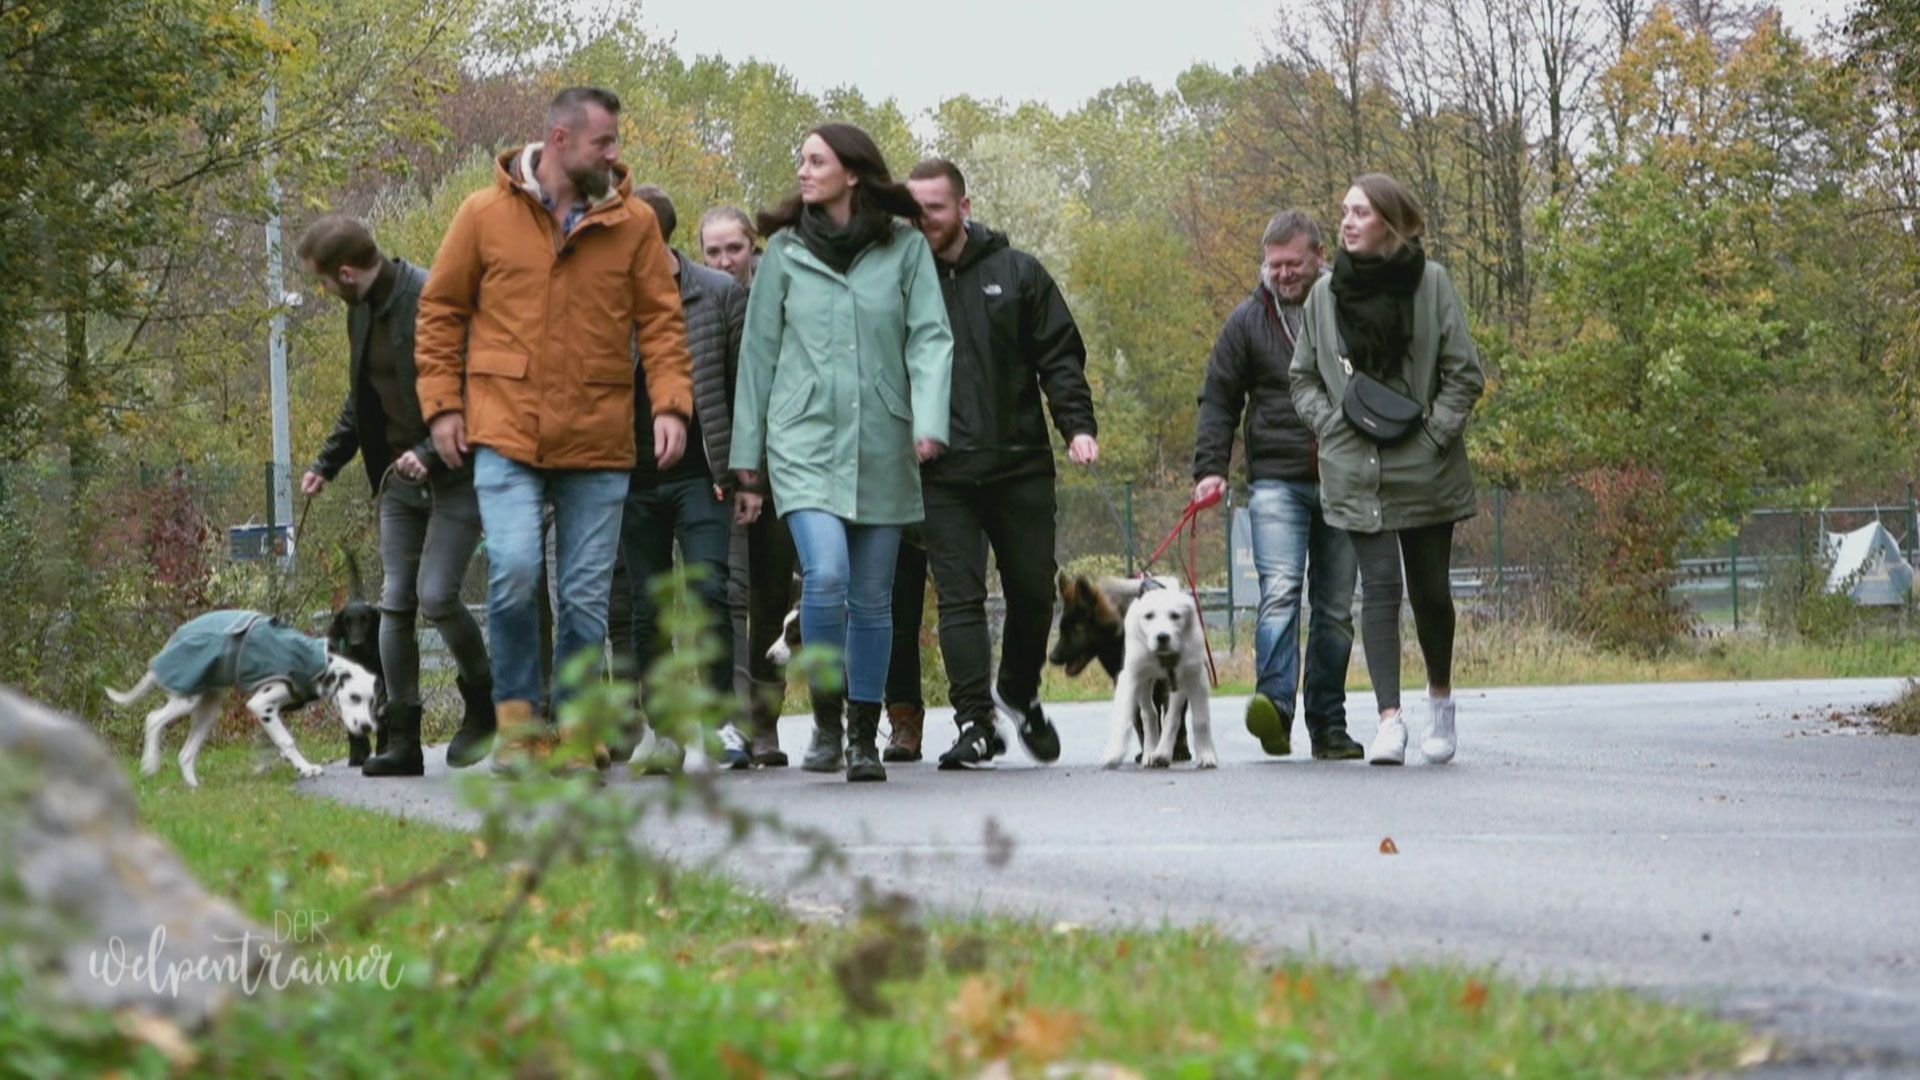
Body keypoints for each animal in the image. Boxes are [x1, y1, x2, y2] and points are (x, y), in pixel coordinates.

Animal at [1105, 580, 1205, 764]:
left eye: (1174, 615)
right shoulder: (1137, 678)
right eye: (1149, 616)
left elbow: (1171, 716)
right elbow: (1142, 715)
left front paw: (1164, 751)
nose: (1162, 636)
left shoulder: (1175, 681)